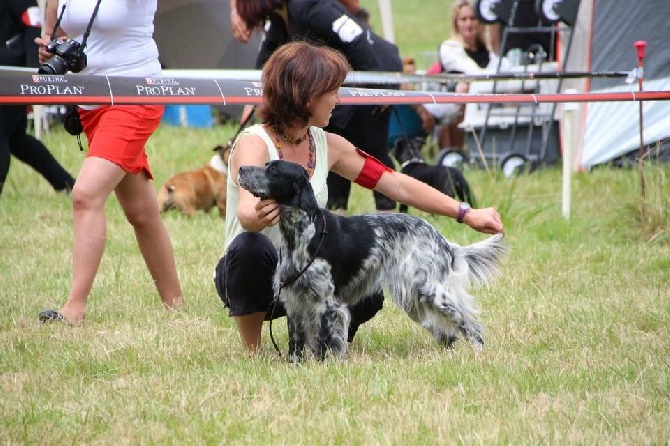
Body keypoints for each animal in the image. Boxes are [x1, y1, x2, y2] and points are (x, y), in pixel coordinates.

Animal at [239, 160, 506, 362]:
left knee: (469, 325)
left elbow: (325, 344)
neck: (302, 233)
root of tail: (441, 239)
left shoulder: (327, 304)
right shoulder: (294, 302)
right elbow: (296, 345)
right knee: (447, 333)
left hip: (430, 291)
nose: (240, 168)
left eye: (273, 169)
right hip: (413, 298)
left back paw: (479, 354)